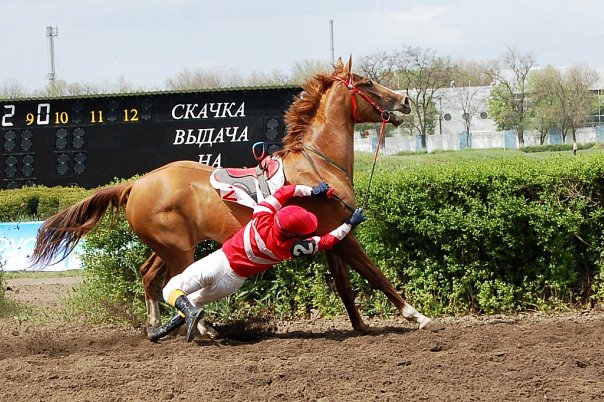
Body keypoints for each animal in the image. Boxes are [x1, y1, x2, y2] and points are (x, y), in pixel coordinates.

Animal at [30, 56, 432, 332]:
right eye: (368, 83)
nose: (405, 100)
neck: (320, 162)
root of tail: (136, 183)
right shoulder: (344, 236)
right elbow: (376, 275)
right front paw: (417, 315)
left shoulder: (331, 238)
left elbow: (347, 287)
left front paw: (361, 326)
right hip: (179, 249)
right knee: (175, 283)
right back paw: (203, 326)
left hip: (168, 244)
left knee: (147, 274)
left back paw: (156, 324)